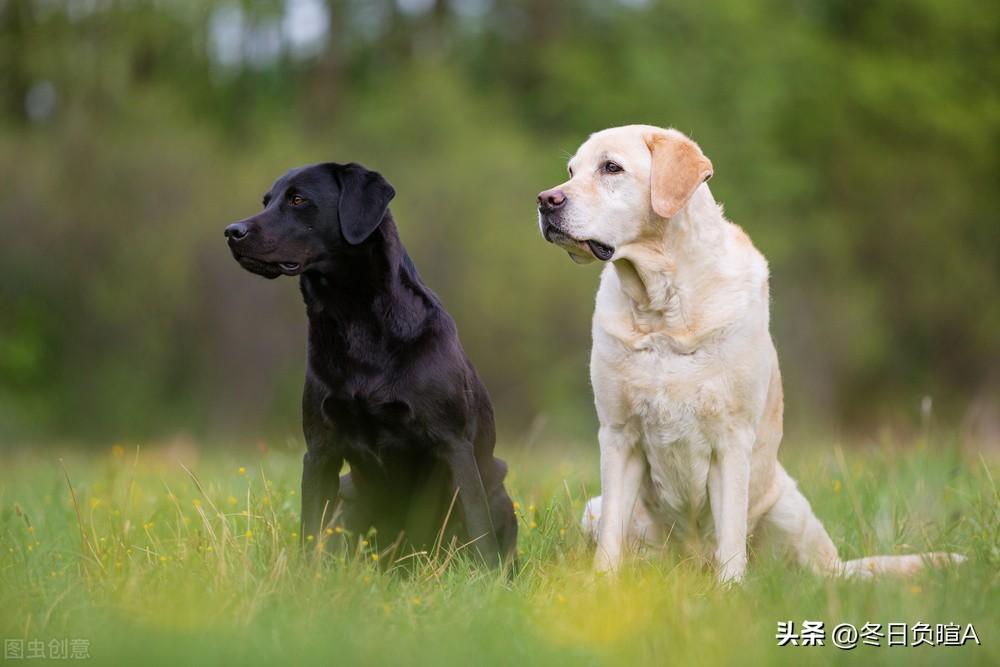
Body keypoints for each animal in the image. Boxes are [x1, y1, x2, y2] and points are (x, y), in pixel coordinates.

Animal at [225, 160, 516, 564]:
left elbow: (479, 531)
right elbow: (310, 531)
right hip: (349, 498)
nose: (231, 232)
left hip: (498, 489)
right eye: (266, 202)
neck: (354, 321)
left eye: (298, 199)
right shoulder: (320, 450)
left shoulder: (454, 446)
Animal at [540, 125, 960, 584]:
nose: (546, 200)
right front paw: (602, 588)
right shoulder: (619, 436)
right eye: (571, 171)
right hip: (594, 511)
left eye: (611, 167)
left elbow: (730, 536)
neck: (663, 308)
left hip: (790, 512)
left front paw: (728, 591)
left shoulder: (730, 439)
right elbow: (611, 542)